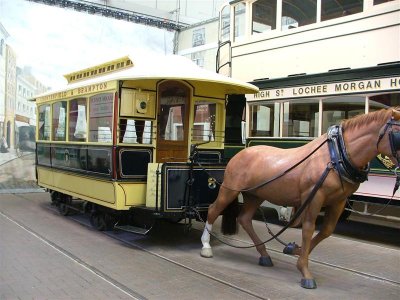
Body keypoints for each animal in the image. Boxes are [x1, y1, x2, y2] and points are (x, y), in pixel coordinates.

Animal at [200, 107, 400, 288]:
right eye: (397, 133)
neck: (336, 156)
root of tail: (239, 154)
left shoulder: (339, 201)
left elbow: (326, 231)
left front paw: (295, 250)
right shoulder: (314, 197)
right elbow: (308, 228)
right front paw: (305, 271)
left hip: (254, 195)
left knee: (245, 218)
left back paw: (264, 254)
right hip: (230, 190)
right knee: (213, 210)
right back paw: (206, 247)